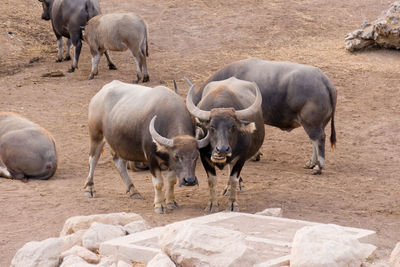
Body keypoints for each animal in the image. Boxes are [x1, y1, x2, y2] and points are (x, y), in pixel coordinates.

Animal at [84, 80, 209, 215]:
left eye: (196, 156)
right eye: (177, 156)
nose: (190, 180)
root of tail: (99, 94)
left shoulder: (169, 161)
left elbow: (171, 180)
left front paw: (171, 202)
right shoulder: (151, 158)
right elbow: (159, 183)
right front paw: (160, 205)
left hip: (120, 144)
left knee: (119, 162)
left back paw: (133, 190)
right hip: (96, 135)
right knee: (93, 159)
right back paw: (89, 188)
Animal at [185, 77, 266, 214]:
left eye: (232, 127)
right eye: (212, 127)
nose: (222, 149)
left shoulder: (241, 158)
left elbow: (234, 179)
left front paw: (232, 204)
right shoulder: (204, 157)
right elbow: (212, 180)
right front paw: (212, 204)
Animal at [197, 58, 338, 175]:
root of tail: (324, 81)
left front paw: (255, 155)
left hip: (311, 123)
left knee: (319, 139)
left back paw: (318, 167)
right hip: (318, 124)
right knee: (315, 141)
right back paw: (311, 163)